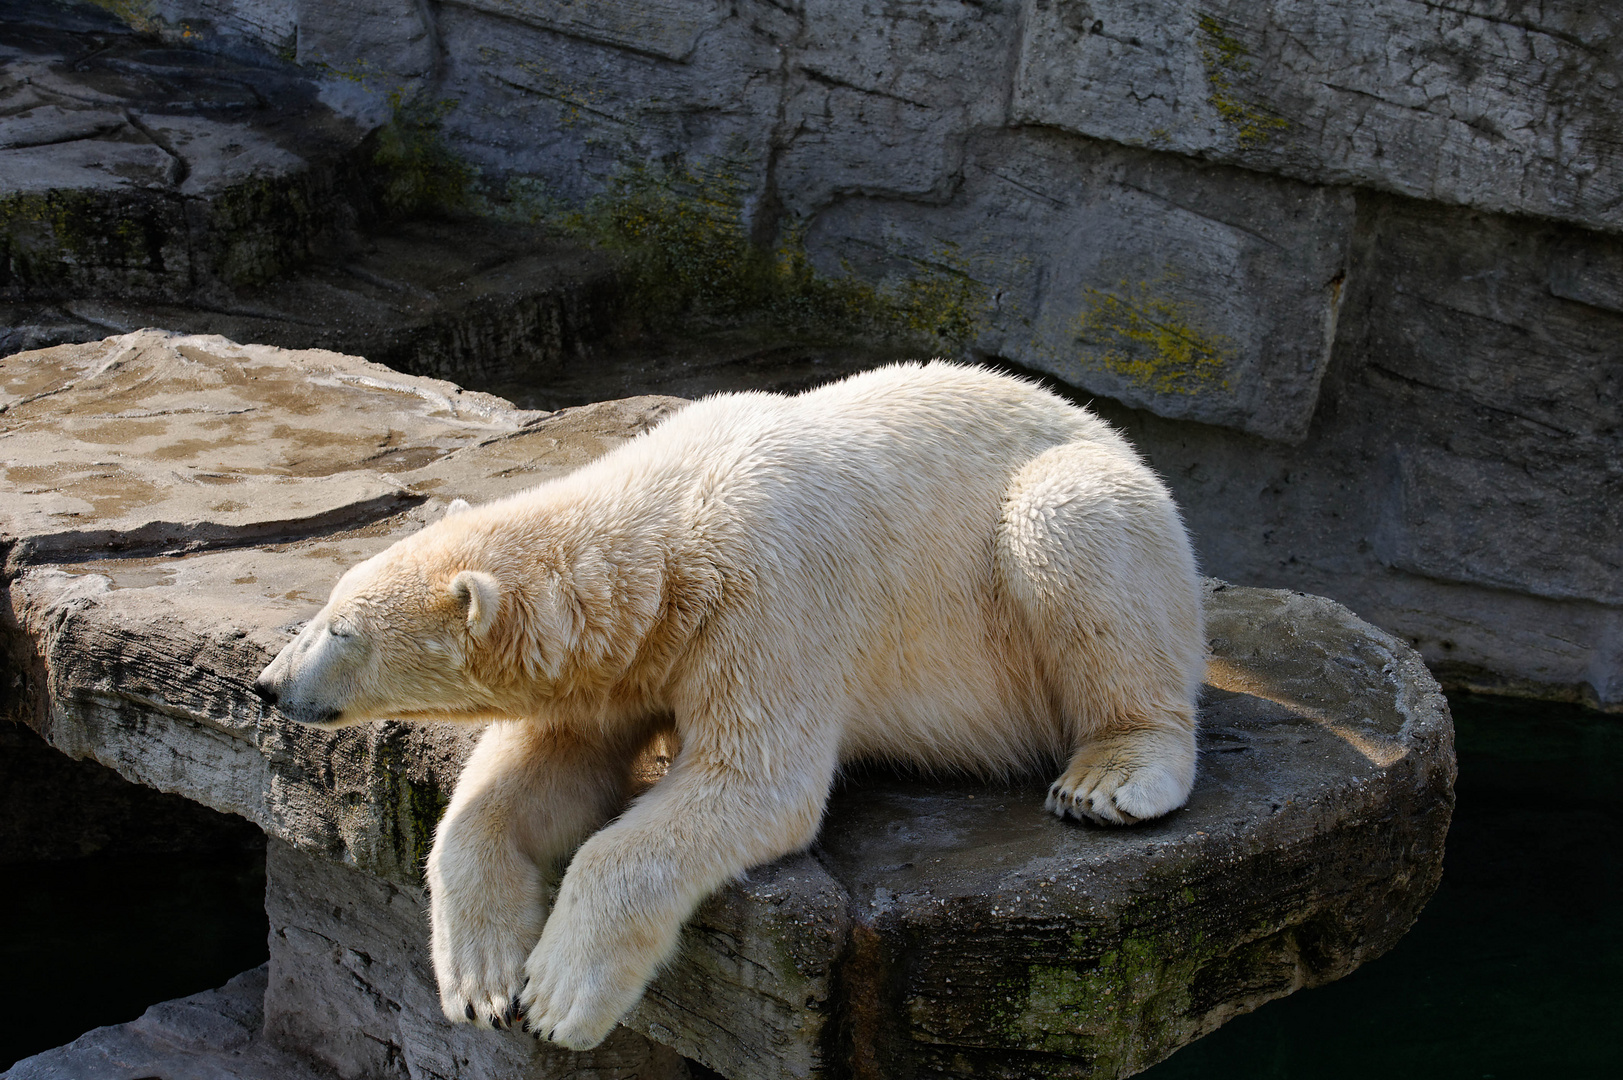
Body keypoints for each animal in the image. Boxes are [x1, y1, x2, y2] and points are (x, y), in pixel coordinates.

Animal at [253, 360, 1207, 1045]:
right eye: (328, 606)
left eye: (341, 629)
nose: (268, 684)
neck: (668, 526)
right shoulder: (625, 656)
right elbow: (539, 769)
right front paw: (482, 980)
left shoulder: (770, 595)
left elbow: (751, 781)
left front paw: (558, 995)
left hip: (1080, 529)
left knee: (1071, 532)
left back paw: (1110, 776)